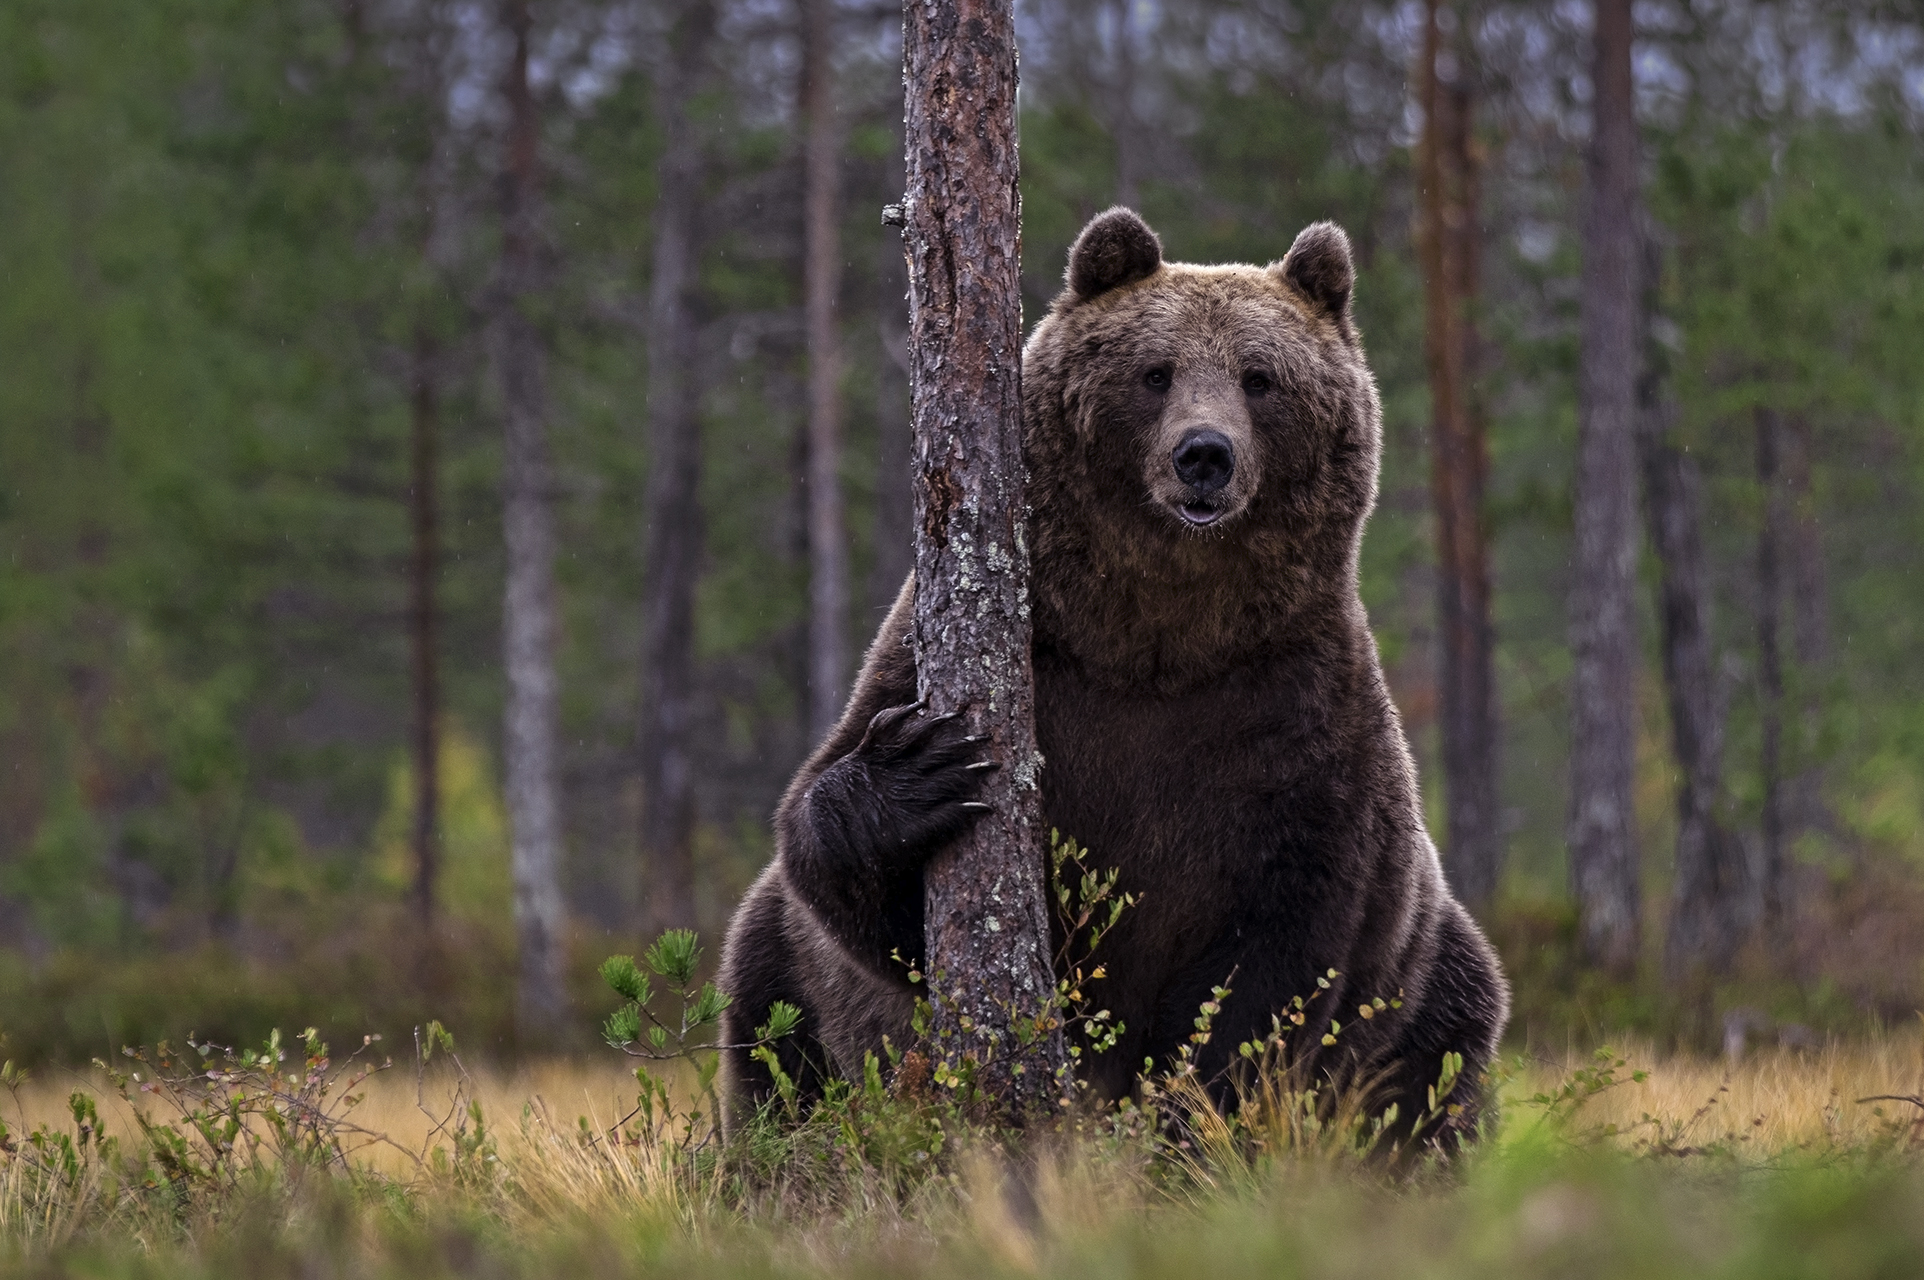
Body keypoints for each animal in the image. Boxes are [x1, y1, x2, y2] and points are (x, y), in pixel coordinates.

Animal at [717, 207, 1510, 1137]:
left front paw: (1193, 1114)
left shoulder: (1297, 721)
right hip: (783, 976)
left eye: (1260, 378)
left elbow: (1278, 962)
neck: (1156, 639)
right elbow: (846, 858)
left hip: (1437, 982)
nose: (1204, 455)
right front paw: (922, 766)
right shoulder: (1019, 664)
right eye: (1155, 372)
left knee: (1432, 1069)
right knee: (775, 1032)